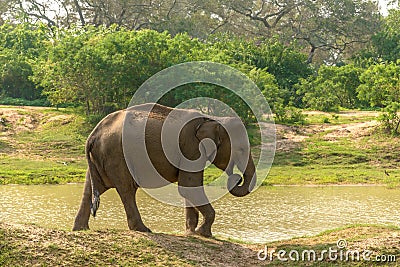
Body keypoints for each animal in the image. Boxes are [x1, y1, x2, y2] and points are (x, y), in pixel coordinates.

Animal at [72, 103, 256, 238]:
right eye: (241, 150)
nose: (236, 177)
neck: (213, 119)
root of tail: (93, 135)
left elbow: (189, 187)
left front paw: (191, 232)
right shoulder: (191, 148)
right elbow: (189, 187)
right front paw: (204, 234)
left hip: (100, 158)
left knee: (90, 189)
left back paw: (80, 229)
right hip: (117, 155)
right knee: (127, 190)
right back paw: (143, 229)